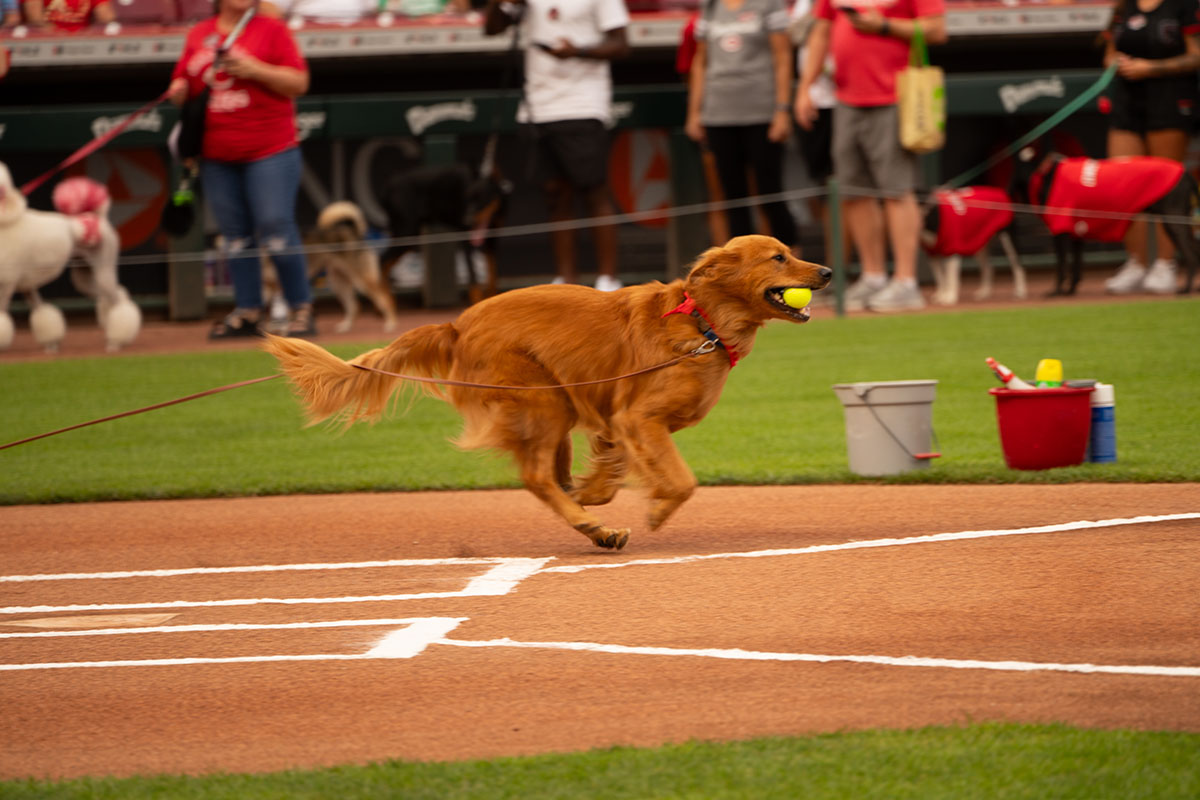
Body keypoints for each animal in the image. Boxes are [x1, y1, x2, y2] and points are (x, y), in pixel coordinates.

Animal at [262, 235, 830, 551]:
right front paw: (656, 510)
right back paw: (591, 526)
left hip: (557, 401)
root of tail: (456, 323)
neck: (702, 320)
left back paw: (590, 519)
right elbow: (682, 480)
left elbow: (611, 468)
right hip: (544, 398)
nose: (825, 271)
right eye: (779, 257)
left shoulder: (615, 417)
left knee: (550, 475)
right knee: (536, 477)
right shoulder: (638, 418)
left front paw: (598, 490)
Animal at [1012, 146, 1200, 293]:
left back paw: (1185, 289)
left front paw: (1057, 292)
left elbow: (1061, 265)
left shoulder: (1060, 231)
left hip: (1173, 221)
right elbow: (1076, 266)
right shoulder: (1076, 232)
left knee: (1191, 253)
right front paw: (1070, 291)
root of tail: (1185, 172)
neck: (1047, 172)